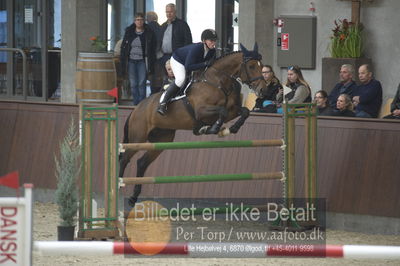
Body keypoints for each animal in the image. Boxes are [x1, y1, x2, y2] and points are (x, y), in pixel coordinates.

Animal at [120, 43, 268, 206]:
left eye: (261, 66)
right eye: (252, 66)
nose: (263, 89)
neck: (217, 82)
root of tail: (136, 108)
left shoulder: (232, 111)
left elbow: (244, 112)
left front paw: (232, 128)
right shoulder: (201, 111)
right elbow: (222, 112)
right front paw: (213, 129)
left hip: (162, 140)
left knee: (142, 162)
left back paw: (133, 197)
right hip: (137, 138)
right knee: (124, 159)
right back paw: (117, 187)